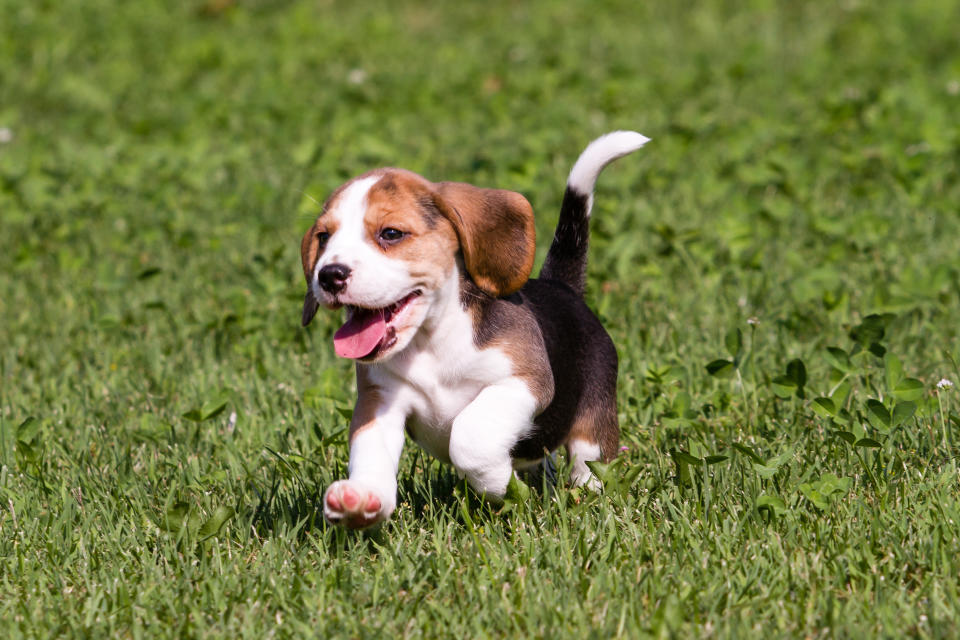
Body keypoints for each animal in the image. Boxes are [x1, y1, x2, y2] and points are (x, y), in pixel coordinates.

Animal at [300, 132, 644, 528]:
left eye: (391, 233)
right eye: (324, 238)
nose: (329, 275)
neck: (432, 340)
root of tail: (561, 286)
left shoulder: (524, 381)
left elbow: (470, 436)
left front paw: (499, 484)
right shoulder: (380, 401)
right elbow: (371, 450)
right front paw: (361, 498)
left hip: (593, 426)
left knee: (588, 464)